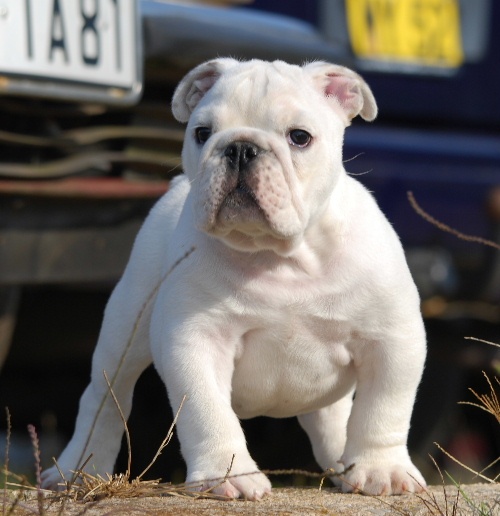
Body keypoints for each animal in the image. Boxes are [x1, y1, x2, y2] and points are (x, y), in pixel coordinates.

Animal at [41, 59, 427, 499]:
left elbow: (383, 408)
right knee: (105, 397)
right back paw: (76, 471)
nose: (240, 147)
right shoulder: (196, 340)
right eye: (202, 132)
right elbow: (207, 412)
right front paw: (226, 476)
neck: (282, 257)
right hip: (125, 327)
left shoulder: (391, 339)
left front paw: (382, 469)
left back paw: (343, 465)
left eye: (299, 137)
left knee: (331, 415)